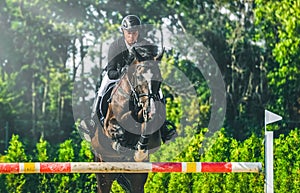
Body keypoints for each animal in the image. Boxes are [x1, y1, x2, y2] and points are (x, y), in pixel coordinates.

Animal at [91, 45, 166, 193]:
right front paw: (119, 143)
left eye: (159, 78)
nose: (151, 110)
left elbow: (146, 126)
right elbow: (118, 126)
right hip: (103, 175)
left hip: (136, 179)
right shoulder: (109, 123)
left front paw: (140, 151)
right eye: (139, 76)